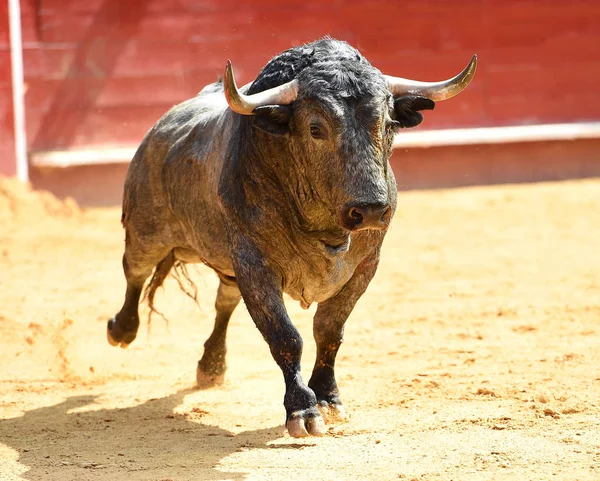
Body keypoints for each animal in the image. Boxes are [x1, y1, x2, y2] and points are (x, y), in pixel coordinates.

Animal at [105, 38, 476, 436]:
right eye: (315, 128)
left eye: (388, 124)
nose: (372, 210)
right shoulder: (255, 265)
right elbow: (285, 336)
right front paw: (302, 409)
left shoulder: (365, 264)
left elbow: (329, 329)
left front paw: (328, 399)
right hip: (146, 232)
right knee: (135, 272)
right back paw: (121, 330)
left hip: (227, 265)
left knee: (224, 300)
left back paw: (211, 367)